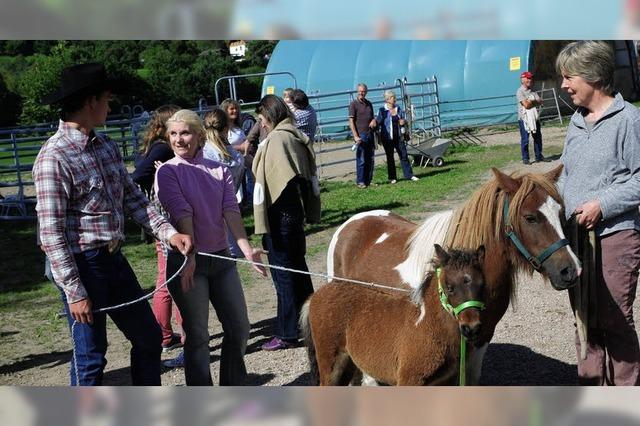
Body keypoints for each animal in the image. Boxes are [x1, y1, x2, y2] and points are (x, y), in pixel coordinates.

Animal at [300, 243, 484, 386]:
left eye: (481, 284)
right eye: (449, 287)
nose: (471, 328)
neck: (426, 323)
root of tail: (315, 296)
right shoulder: (410, 380)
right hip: (330, 362)